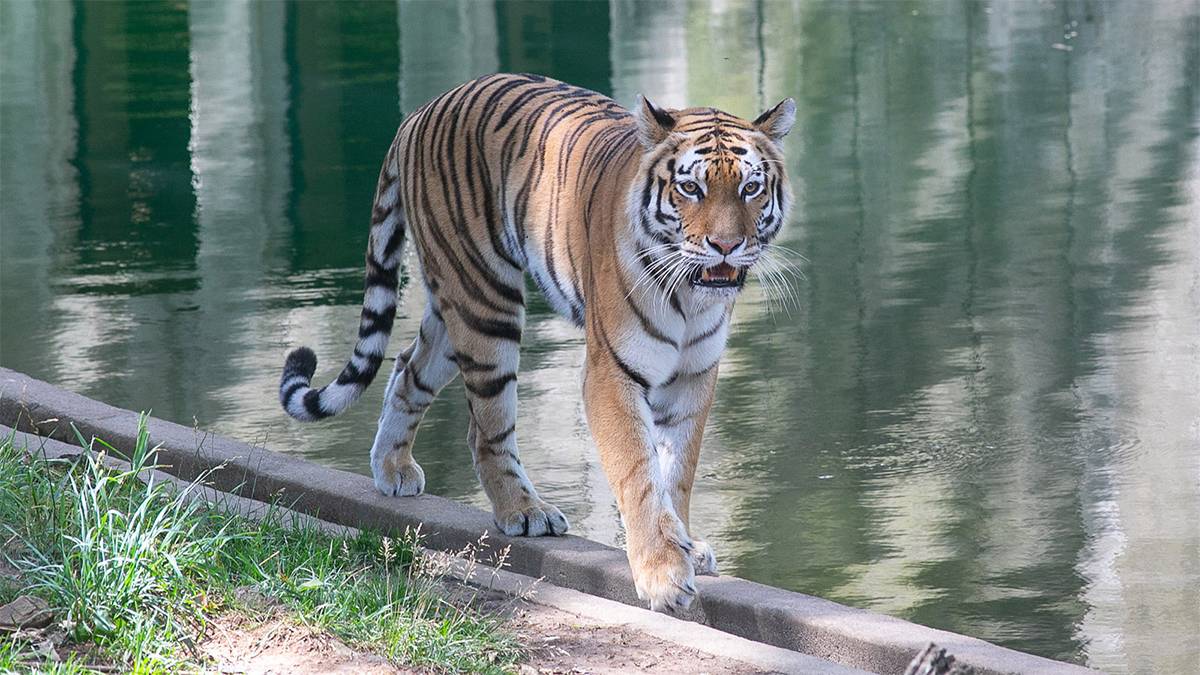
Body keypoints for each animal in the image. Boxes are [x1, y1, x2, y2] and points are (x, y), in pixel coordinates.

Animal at [276, 73, 792, 610]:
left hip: (453, 306)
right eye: (691, 188)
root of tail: (420, 111)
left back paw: (393, 469)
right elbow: (639, 471)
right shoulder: (611, 373)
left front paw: (686, 546)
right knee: (485, 429)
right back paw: (524, 512)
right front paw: (663, 574)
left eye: (751, 188)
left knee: (406, 368)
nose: (727, 247)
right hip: (486, 304)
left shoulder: (695, 374)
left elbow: (678, 471)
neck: (692, 296)